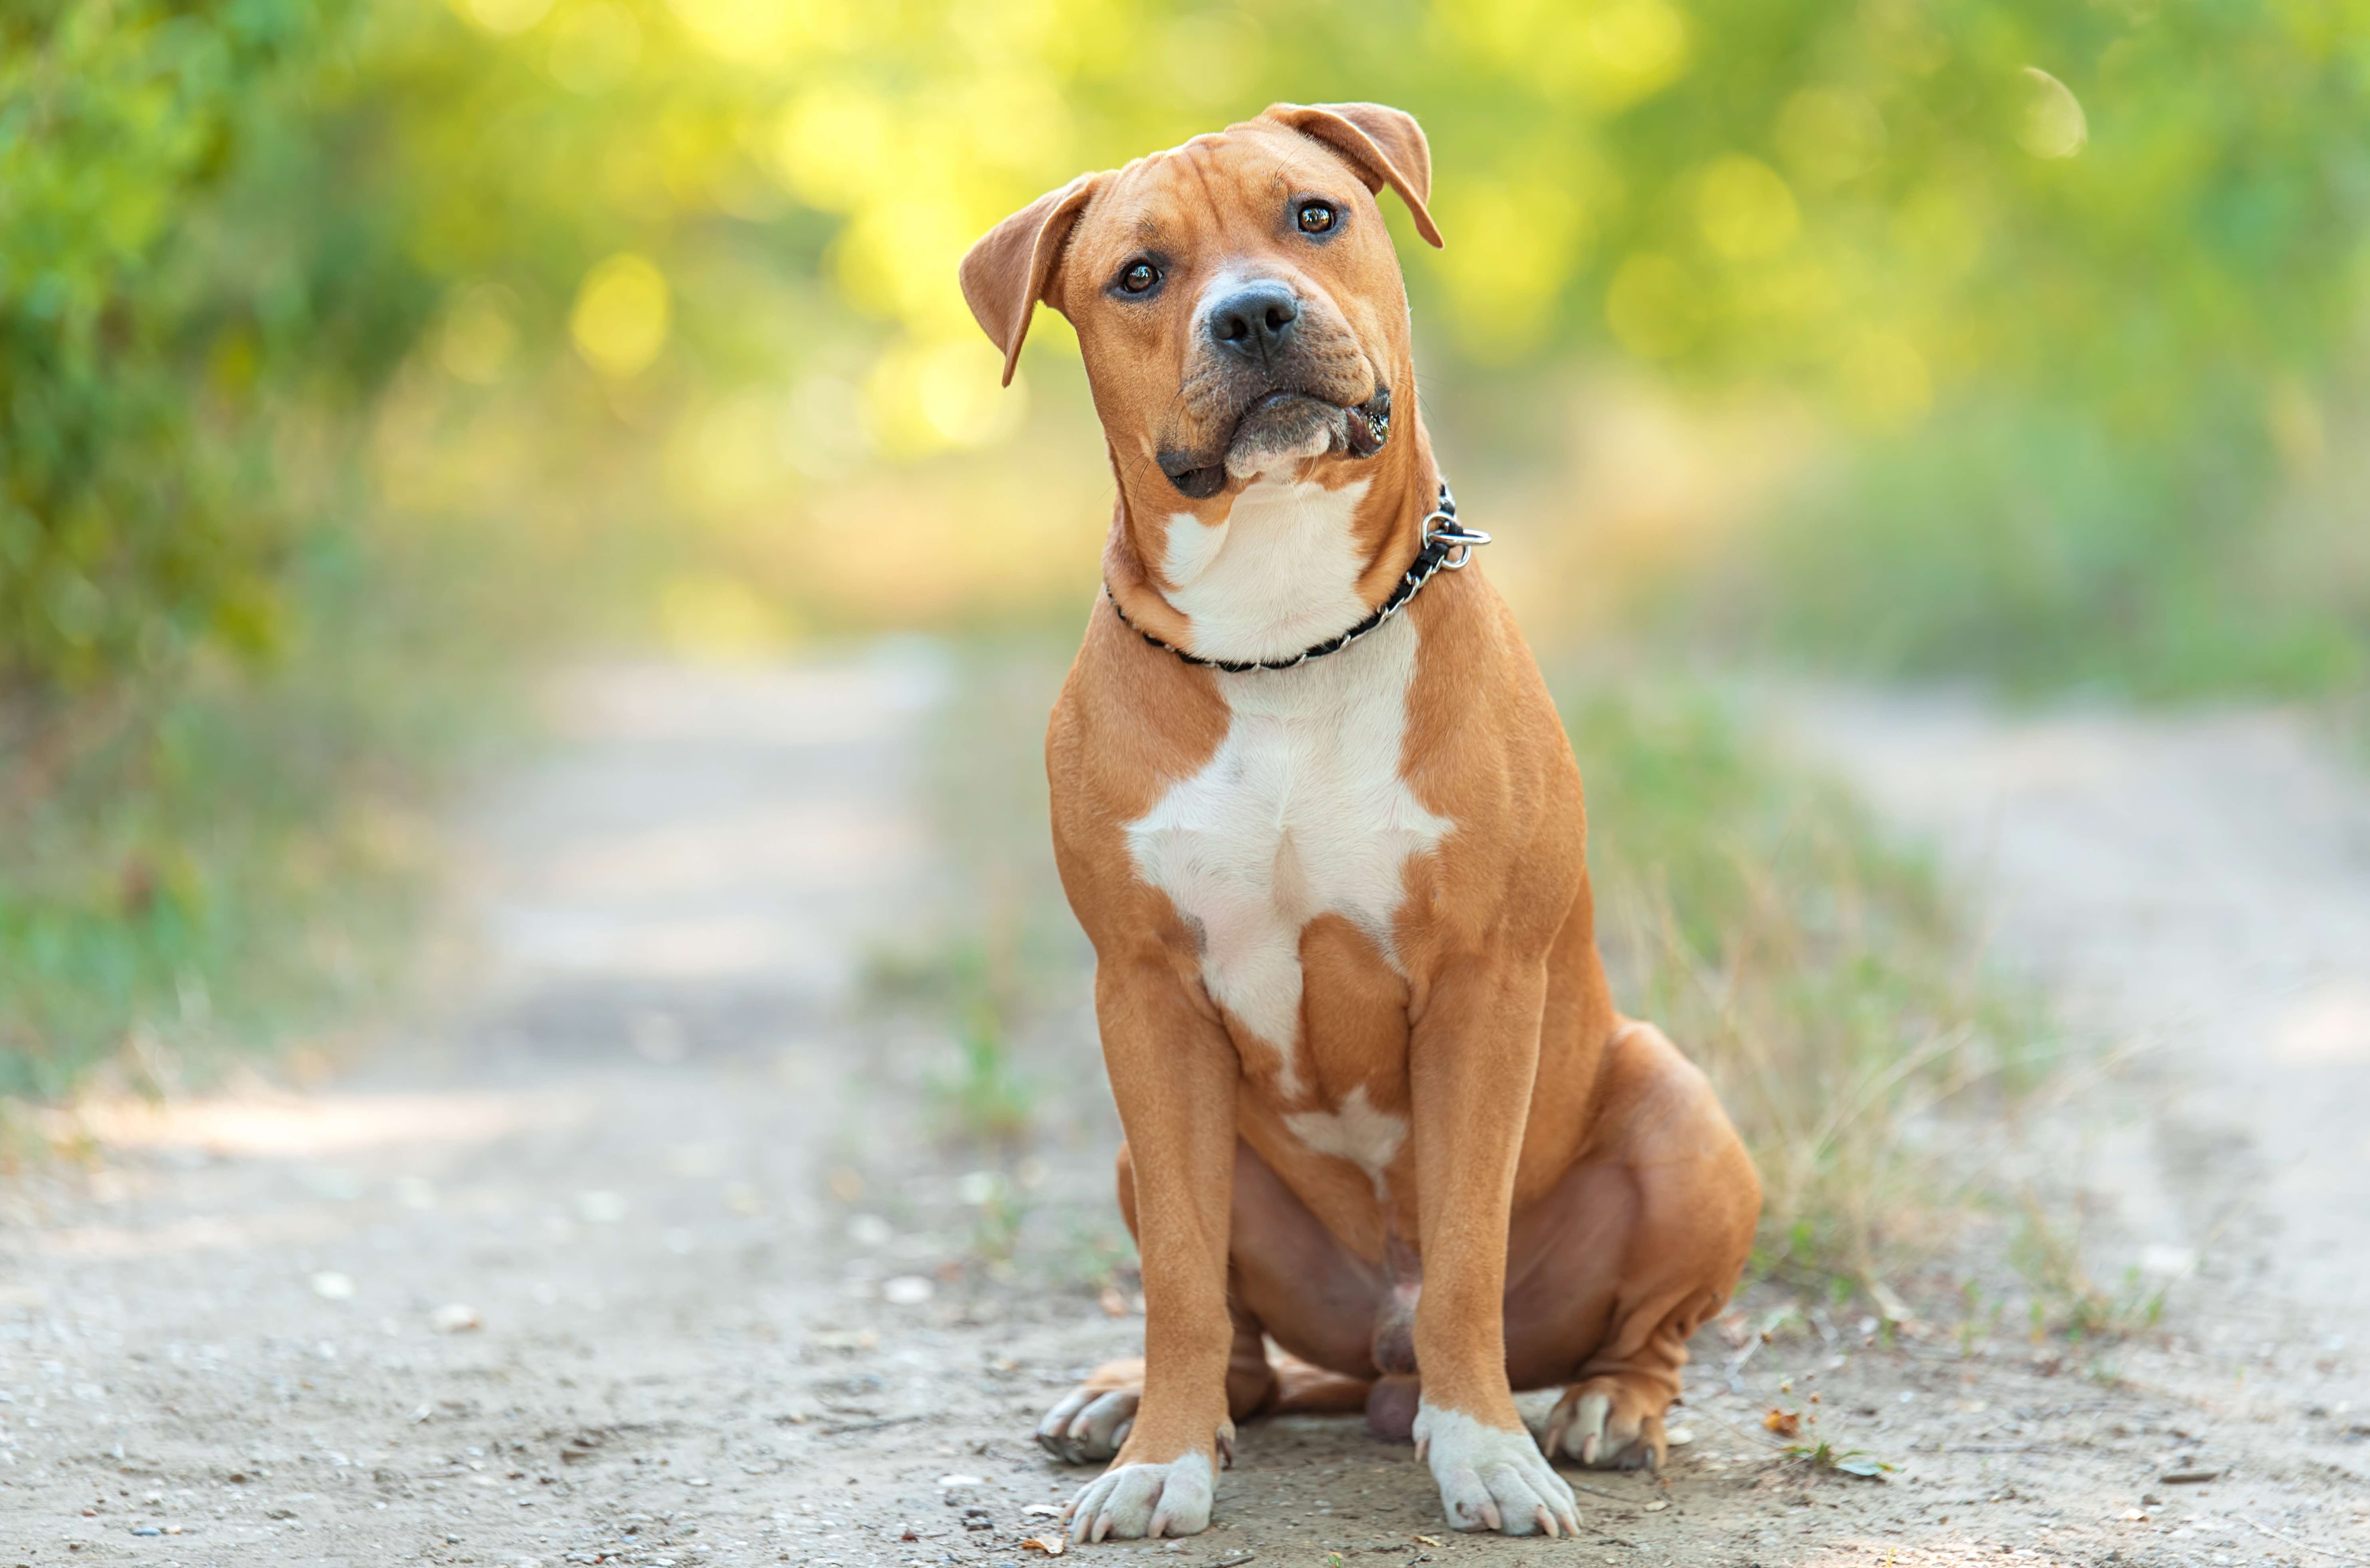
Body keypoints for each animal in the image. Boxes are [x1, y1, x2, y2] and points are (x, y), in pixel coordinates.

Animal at [962, 101, 1763, 1544]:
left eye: (1314, 215)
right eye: (1140, 275)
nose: (1254, 313)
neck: (1284, 630)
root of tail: (1370, 1366)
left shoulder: (1483, 988)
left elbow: (1463, 1253)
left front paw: (1488, 1450)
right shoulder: (1146, 998)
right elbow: (1181, 1273)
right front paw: (1164, 1459)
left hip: (1682, 1111)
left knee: (1640, 1328)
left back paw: (1605, 1405)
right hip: (1145, 1146)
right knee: (1238, 1342)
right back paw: (1139, 1399)